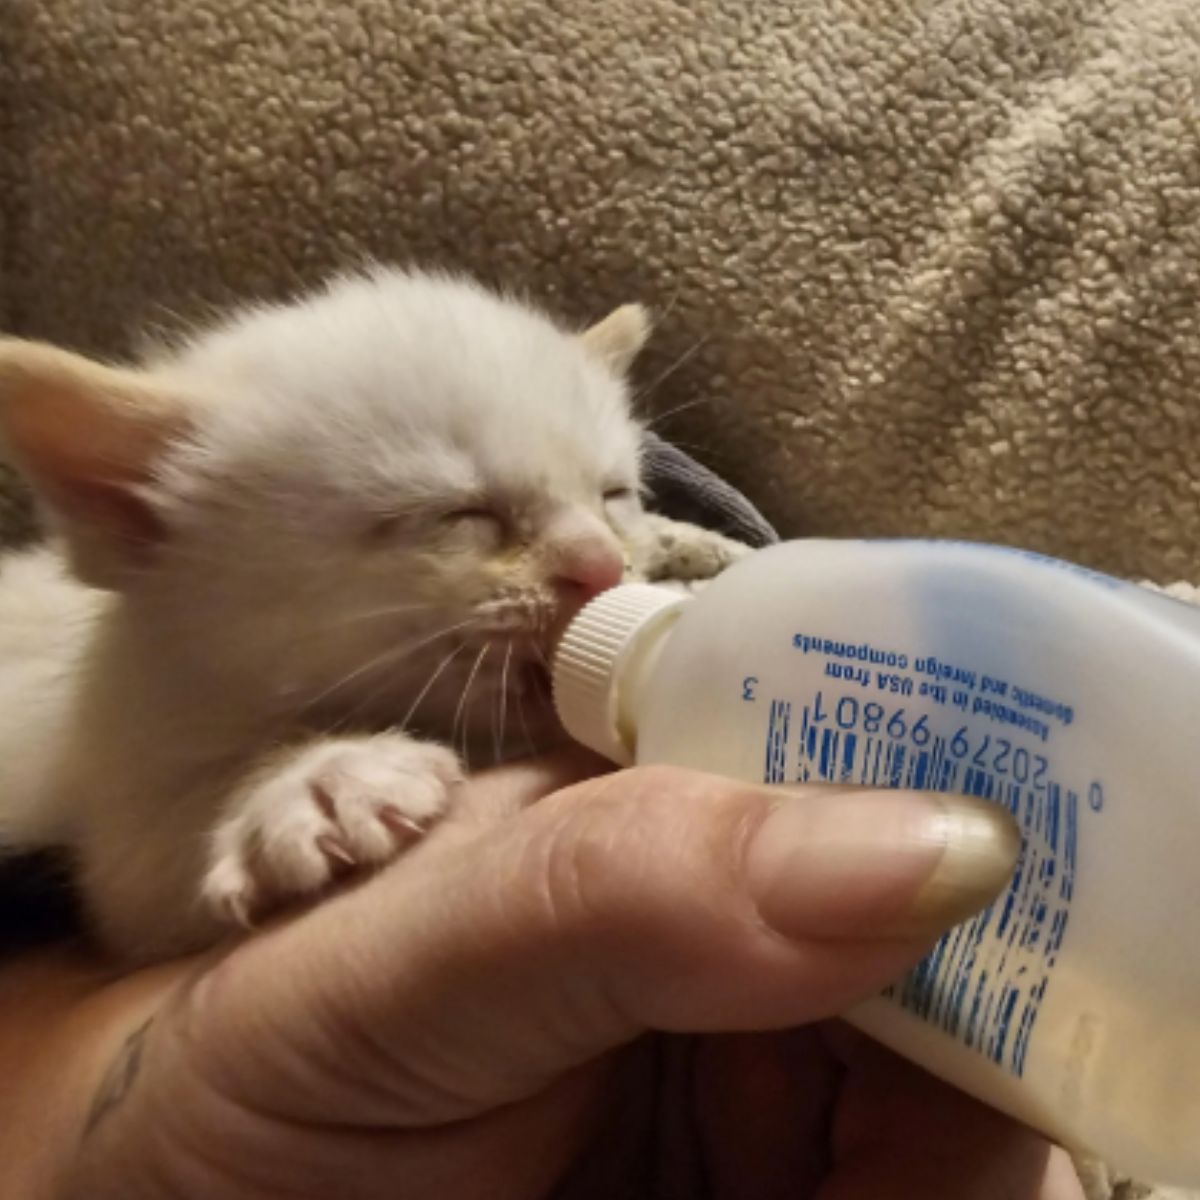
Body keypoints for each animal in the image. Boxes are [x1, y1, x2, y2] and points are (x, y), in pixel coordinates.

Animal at [0, 267, 739, 960]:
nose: (601, 565)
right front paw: (310, 780)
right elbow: (140, 869)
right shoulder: (122, 802)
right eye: (463, 515)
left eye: (613, 496)